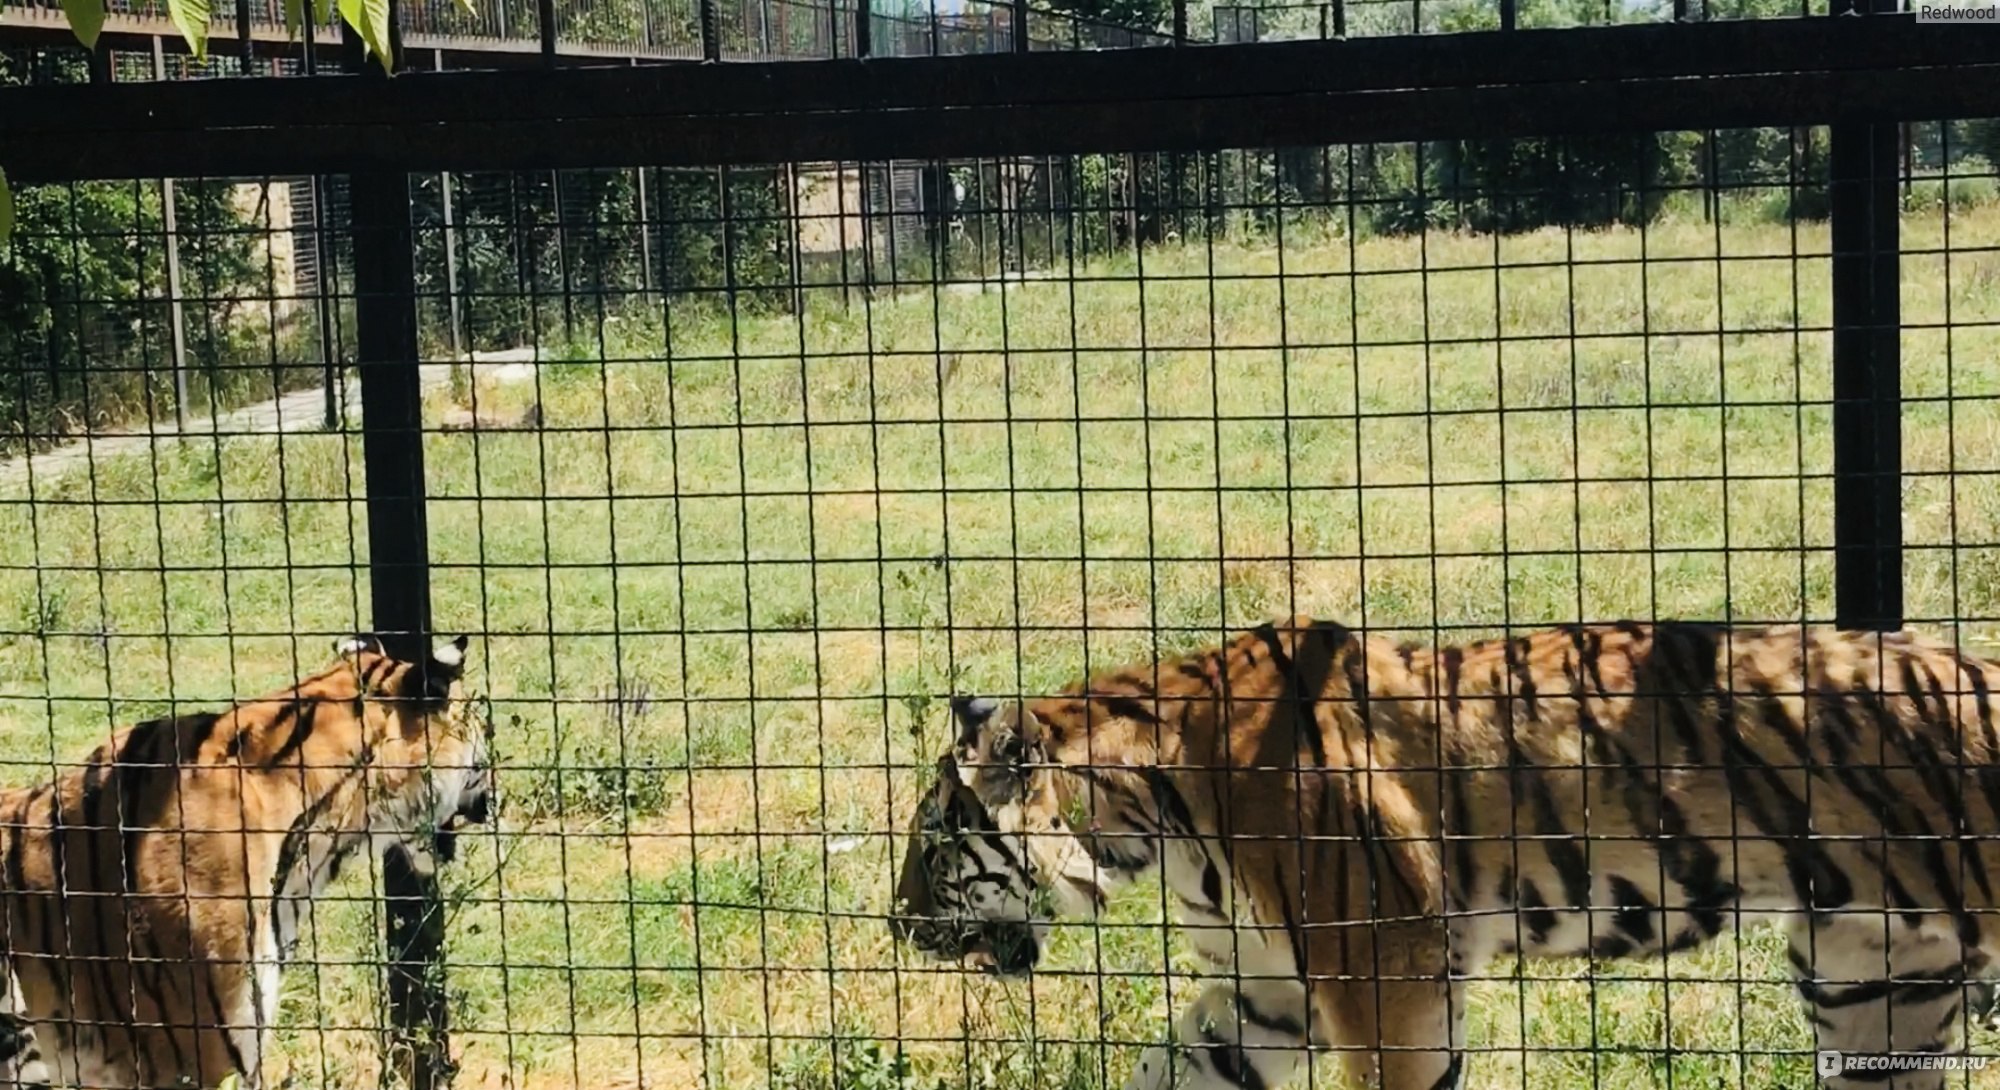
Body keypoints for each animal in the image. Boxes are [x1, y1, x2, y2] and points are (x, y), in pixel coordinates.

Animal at [900, 616, 2000, 1080]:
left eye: (930, 843)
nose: (898, 924)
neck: (1151, 826)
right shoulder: (1267, 995)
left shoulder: (1386, 978)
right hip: (1872, 982)